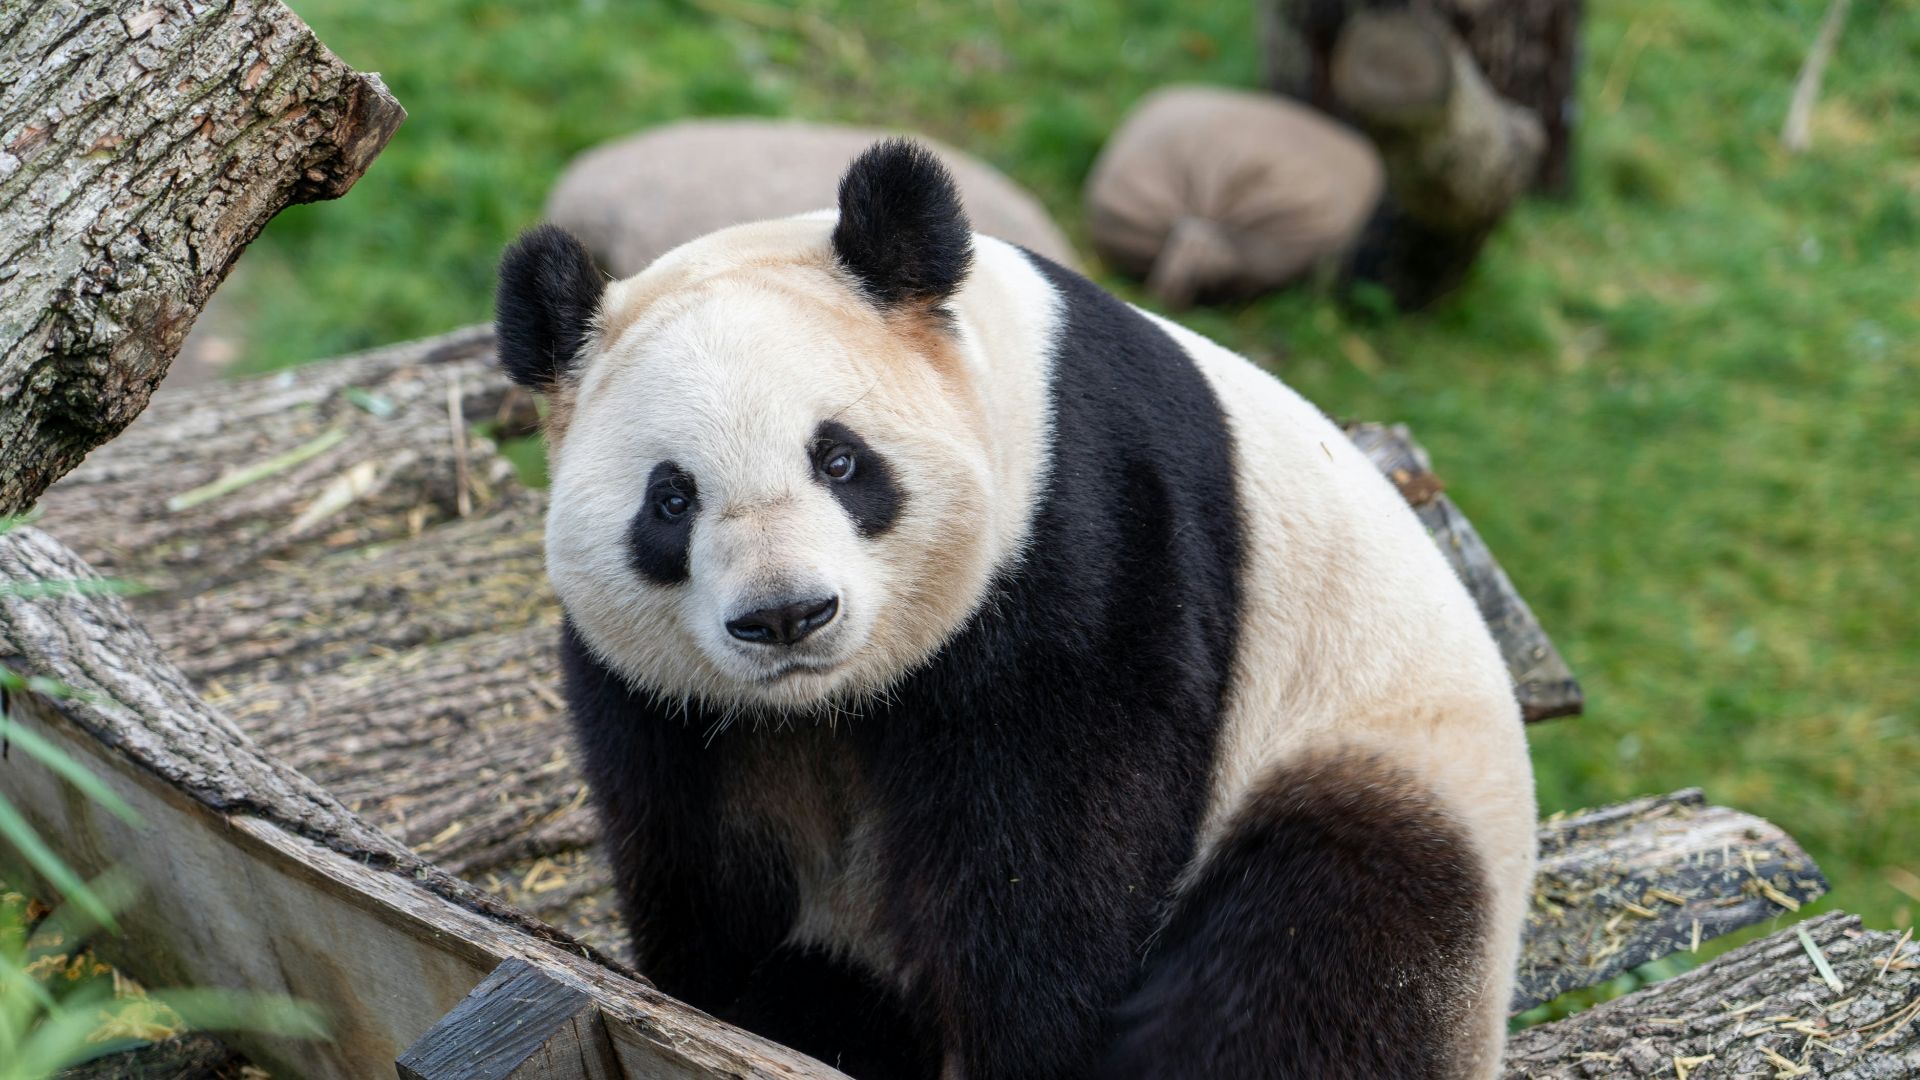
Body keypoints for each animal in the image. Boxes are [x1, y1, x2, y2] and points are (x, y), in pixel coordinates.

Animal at [495, 140, 1535, 1080]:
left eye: (840, 460)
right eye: (671, 500)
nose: (787, 615)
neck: (825, 703)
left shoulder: (1087, 537)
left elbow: (1053, 847)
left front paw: (1029, 1040)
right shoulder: (665, 699)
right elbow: (694, 848)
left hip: (1378, 760)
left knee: (1319, 947)